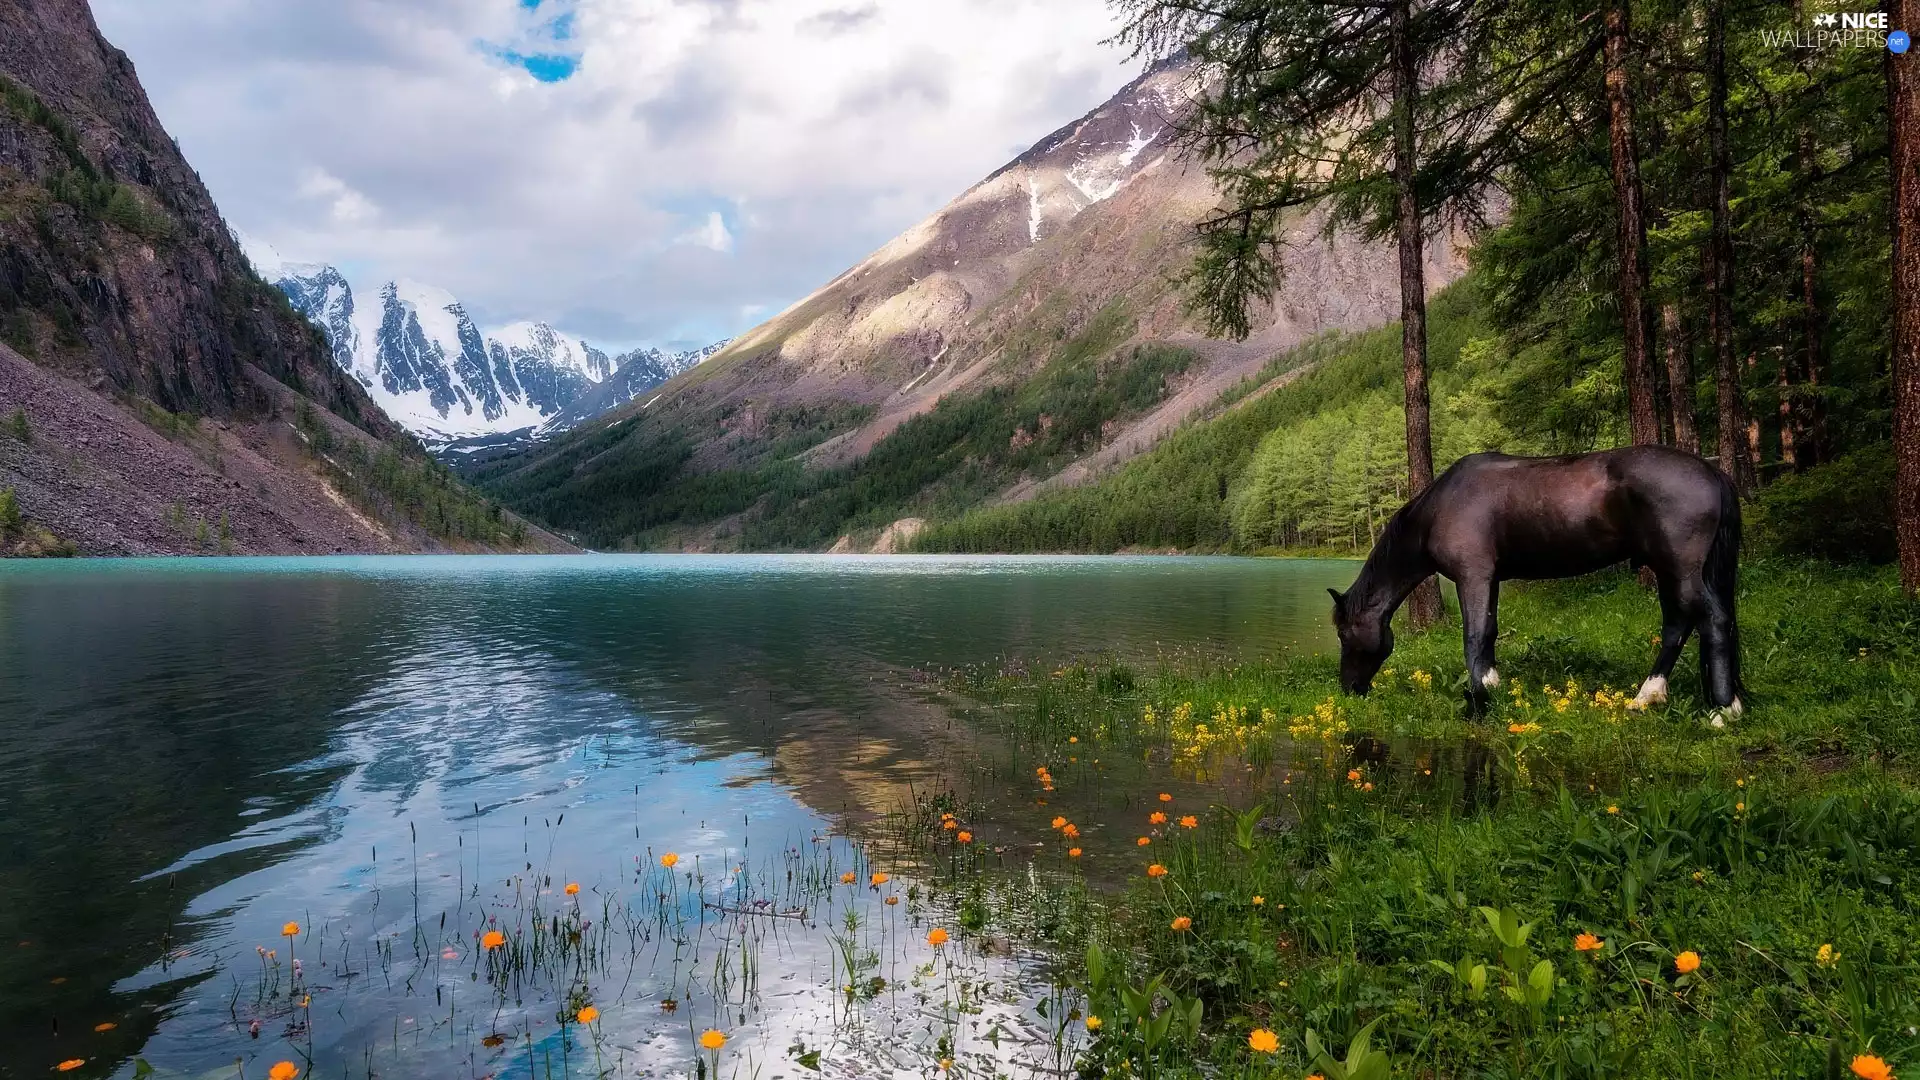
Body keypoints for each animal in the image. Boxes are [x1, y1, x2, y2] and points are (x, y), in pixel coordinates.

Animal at [1328, 446, 1743, 720]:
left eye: (1344, 635)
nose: (1349, 688)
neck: (1439, 508)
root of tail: (1710, 472)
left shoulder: (1473, 575)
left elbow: (1473, 636)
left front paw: (1476, 701)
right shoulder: (1490, 578)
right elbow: (1489, 632)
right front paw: (1492, 687)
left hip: (1680, 570)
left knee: (1710, 620)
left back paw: (1723, 710)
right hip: (1672, 570)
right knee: (1678, 623)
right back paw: (1648, 696)